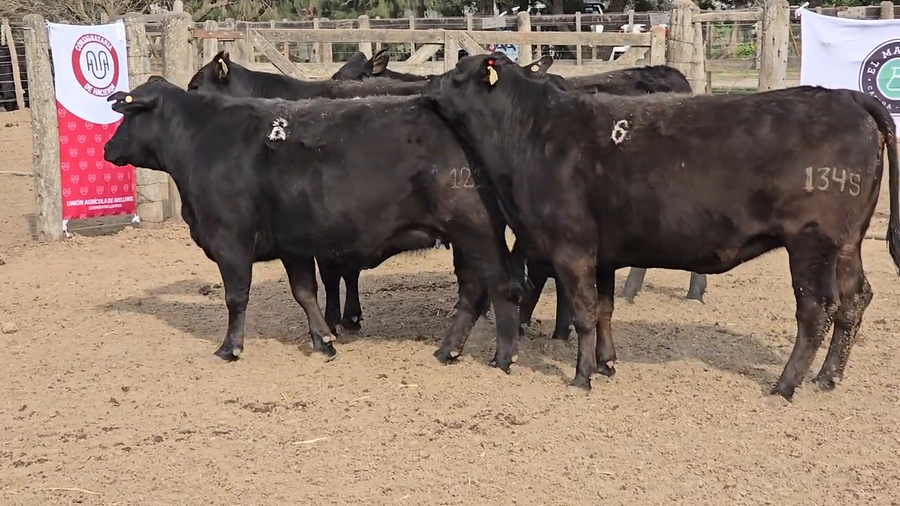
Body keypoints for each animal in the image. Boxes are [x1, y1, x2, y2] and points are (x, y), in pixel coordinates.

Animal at [103, 76, 522, 372]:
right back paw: (448, 349)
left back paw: (503, 356)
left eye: (127, 114)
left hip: (477, 231)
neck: (205, 141)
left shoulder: (230, 243)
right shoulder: (294, 246)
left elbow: (236, 298)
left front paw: (230, 348)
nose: (107, 148)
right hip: (466, 239)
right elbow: (305, 293)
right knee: (472, 291)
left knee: (499, 286)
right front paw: (324, 340)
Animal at [421, 53, 900, 401]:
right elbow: (605, 308)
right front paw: (607, 363)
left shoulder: (571, 248)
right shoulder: (603, 254)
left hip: (811, 243)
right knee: (854, 301)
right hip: (847, 244)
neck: (534, 131)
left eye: (458, 74)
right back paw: (827, 378)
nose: (426, 84)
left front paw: (582, 376)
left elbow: (582, 312)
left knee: (815, 311)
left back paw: (785, 385)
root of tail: (846, 97)